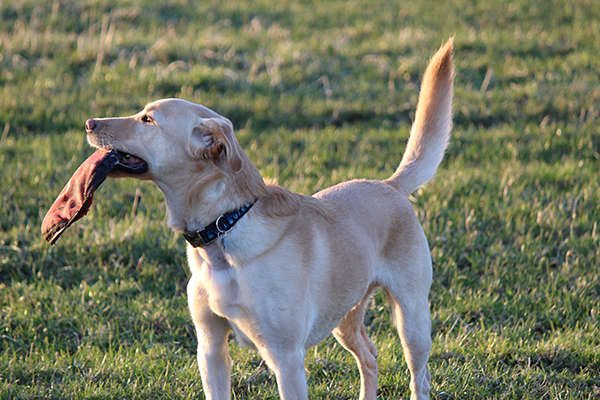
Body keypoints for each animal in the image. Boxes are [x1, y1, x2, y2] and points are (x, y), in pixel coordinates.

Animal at [84, 38, 454, 400]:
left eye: (147, 120)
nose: (89, 123)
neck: (224, 227)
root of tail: (390, 185)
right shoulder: (211, 348)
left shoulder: (285, 356)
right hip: (345, 318)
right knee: (370, 355)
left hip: (412, 320)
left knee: (420, 377)